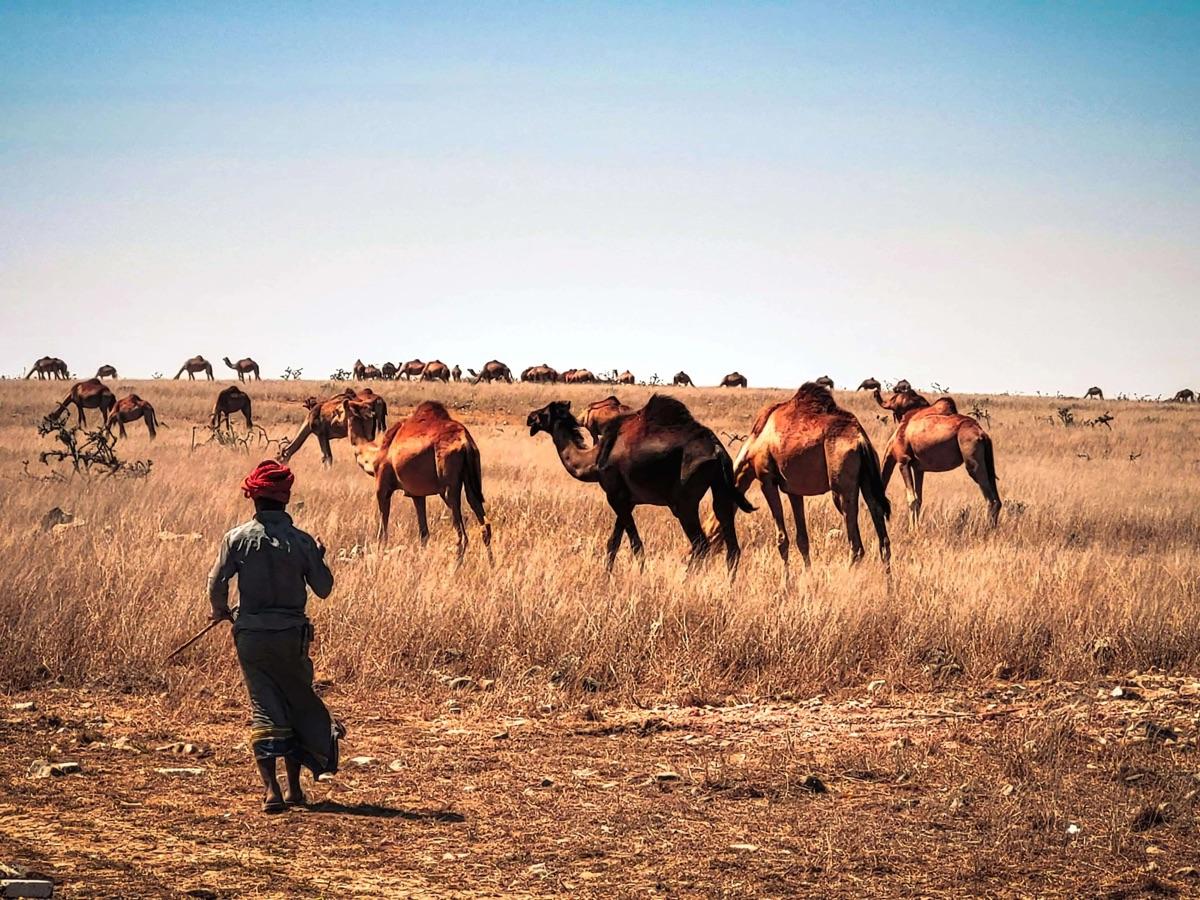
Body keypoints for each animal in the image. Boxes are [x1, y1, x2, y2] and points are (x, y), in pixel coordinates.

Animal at [343, 398, 492, 563]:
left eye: (347, 412)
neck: (375, 455)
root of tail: (466, 443)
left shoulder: (382, 486)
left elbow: (382, 533)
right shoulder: (417, 494)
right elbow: (424, 533)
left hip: (448, 485)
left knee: (462, 534)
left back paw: (455, 567)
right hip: (472, 477)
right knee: (483, 522)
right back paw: (491, 564)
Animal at [527, 396, 753, 572]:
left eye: (545, 412)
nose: (530, 417)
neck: (593, 460)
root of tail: (718, 451)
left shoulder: (614, 494)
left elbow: (635, 544)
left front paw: (639, 574)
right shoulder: (627, 500)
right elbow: (613, 543)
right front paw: (606, 576)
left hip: (684, 501)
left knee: (701, 544)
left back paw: (684, 581)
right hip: (722, 488)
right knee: (731, 545)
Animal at [705, 383, 890, 570]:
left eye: (706, 536)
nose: (701, 557)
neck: (754, 443)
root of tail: (861, 441)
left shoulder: (766, 479)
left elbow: (781, 540)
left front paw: (786, 579)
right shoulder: (794, 490)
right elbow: (802, 540)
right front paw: (806, 575)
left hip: (841, 484)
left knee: (856, 545)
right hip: (868, 478)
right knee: (882, 534)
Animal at [881, 397, 1001, 527]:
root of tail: (982, 434)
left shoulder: (903, 461)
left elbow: (912, 500)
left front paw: (913, 529)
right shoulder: (918, 469)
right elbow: (919, 499)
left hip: (972, 461)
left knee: (990, 500)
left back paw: (985, 528)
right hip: (987, 462)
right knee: (997, 499)